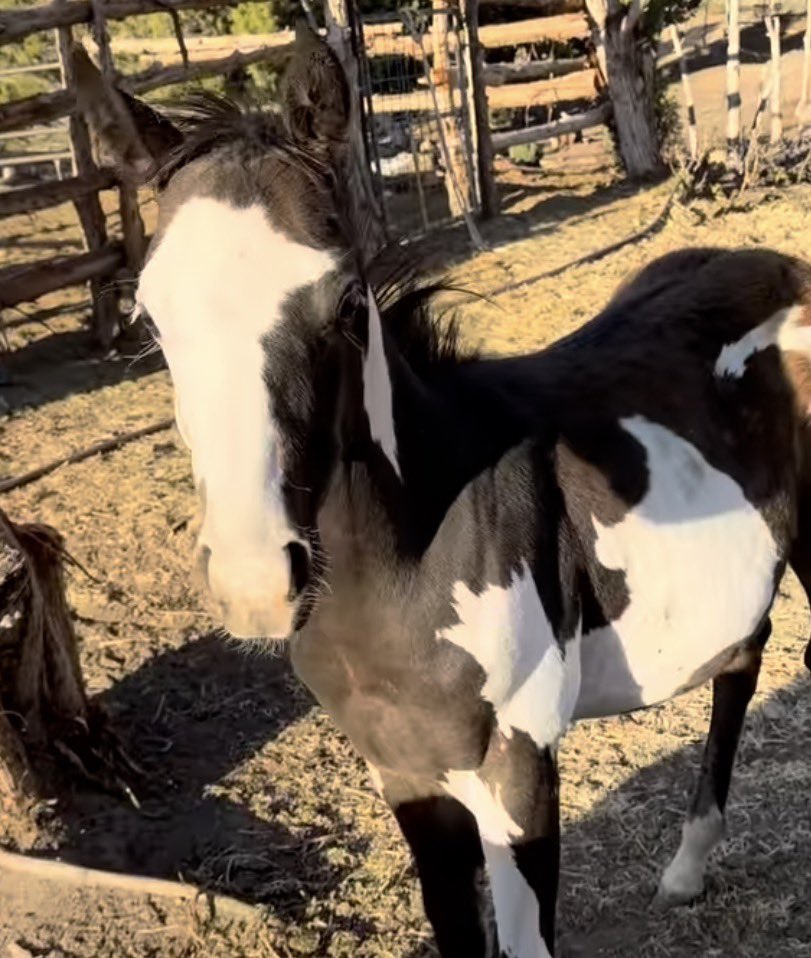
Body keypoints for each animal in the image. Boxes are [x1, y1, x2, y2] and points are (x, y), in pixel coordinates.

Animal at [73, 29, 811, 958]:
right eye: (149, 319)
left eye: (345, 301)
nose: (256, 585)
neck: (411, 564)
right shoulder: (405, 771)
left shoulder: (518, 762)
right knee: (743, 656)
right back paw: (685, 868)